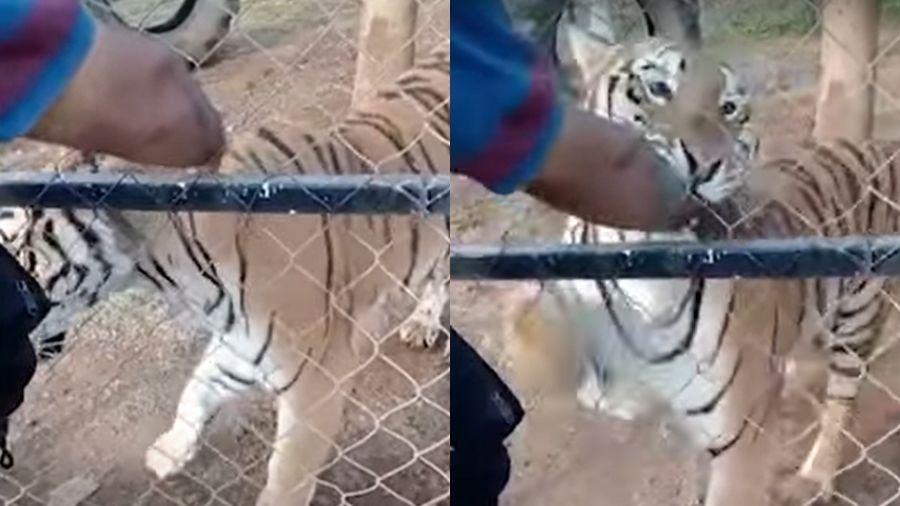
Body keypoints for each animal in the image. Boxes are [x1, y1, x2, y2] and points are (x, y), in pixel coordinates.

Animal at [0, 45, 450, 504]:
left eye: (12, 242)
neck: (164, 264)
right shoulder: (245, 342)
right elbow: (199, 383)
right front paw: (171, 449)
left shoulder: (316, 373)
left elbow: (286, 477)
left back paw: (423, 322)